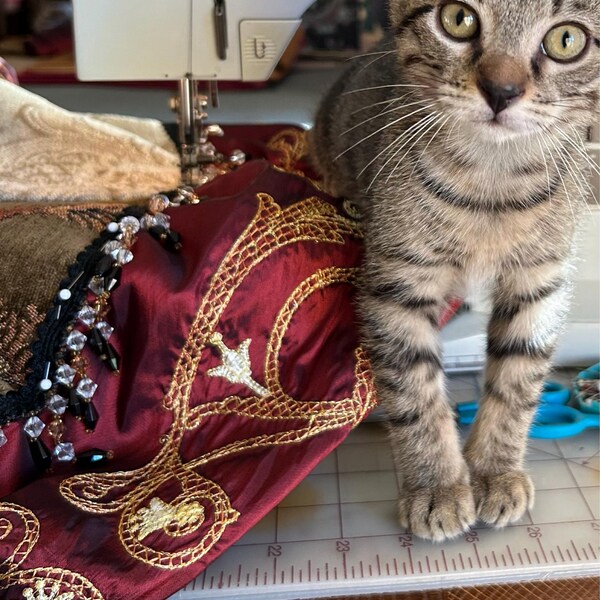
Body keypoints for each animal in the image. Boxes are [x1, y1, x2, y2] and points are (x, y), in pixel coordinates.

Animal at [310, 0, 599, 542]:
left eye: (567, 40)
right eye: (458, 19)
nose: (501, 91)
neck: (492, 179)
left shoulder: (540, 282)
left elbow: (518, 377)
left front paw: (495, 471)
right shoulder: (397, 282)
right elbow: (414, 387)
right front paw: (436, 485)